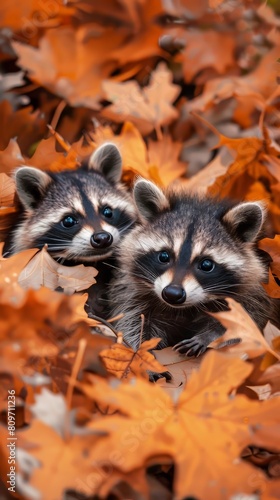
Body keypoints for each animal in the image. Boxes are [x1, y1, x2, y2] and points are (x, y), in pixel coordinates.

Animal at [110, 180, 278, 356]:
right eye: (164, 256)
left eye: (206, 264)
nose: (172, 294)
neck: (185, 308)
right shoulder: (132, 294)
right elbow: (132, 321)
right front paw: (142, 349)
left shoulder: (251, 298)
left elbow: (241, 329)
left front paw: (208, 336)